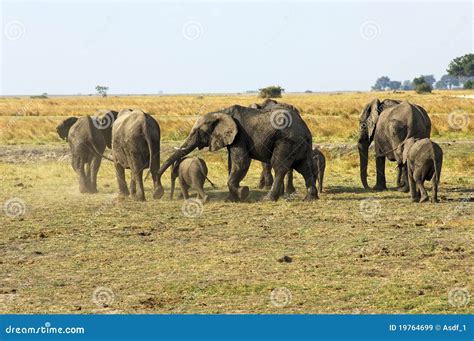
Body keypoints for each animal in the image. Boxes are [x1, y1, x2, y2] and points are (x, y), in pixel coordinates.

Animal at [156, 102, 318, 201]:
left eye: (198, 131)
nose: (158, 193)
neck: (221, 112)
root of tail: (305, 129)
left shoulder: (240, 136)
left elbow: (241, 162)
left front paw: (243, 192)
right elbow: (231, 164)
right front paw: (231, 199)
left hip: (286, 142)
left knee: (279, 167)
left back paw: (268, 199)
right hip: (300, 145)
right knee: (305, 168)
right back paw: (310, 199)